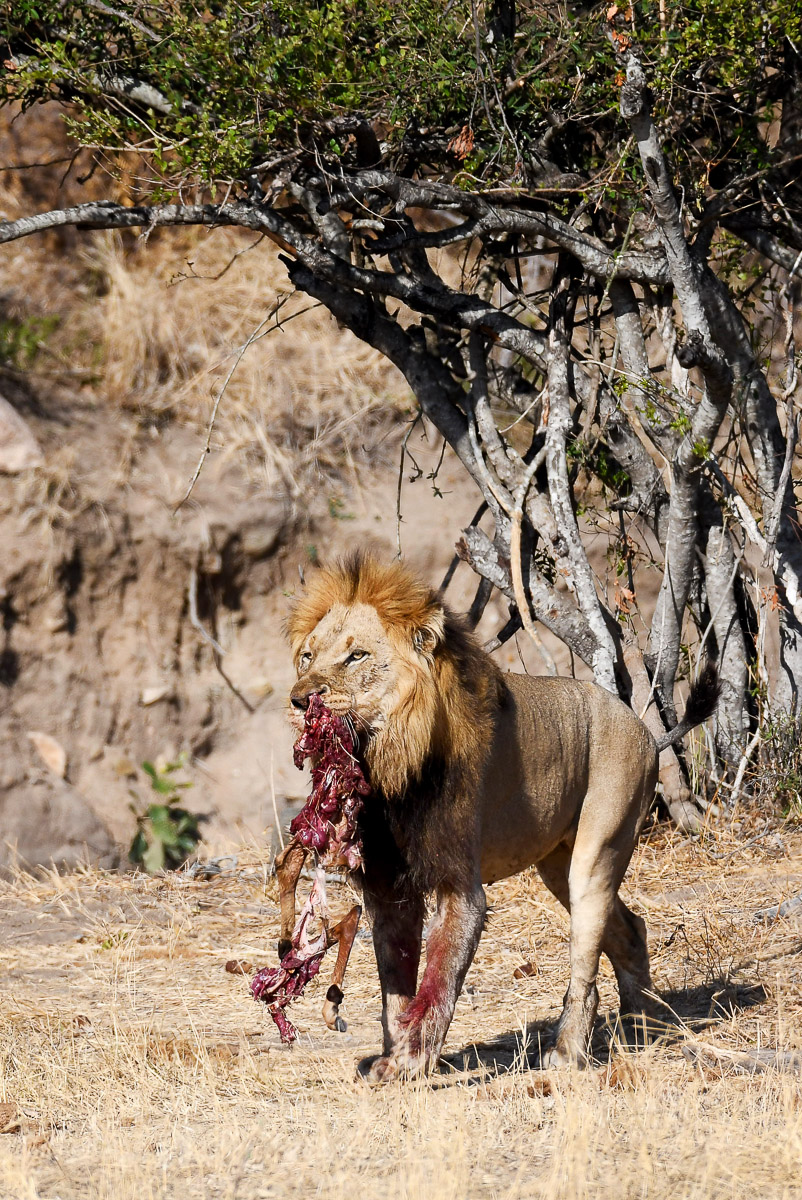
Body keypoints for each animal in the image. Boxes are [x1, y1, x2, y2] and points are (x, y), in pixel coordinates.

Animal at [284, 553, 718, 1082]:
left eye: (357, 657)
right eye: (307, 657)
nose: (301, 699)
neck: (387, 768)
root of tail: (646, 729)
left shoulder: (459, 884)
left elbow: (438, 983)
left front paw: (410, 1061)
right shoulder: (388, 886)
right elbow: (395, 987)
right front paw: (391, 1055)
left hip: (598, 850)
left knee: (586, 960)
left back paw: (568, 1052)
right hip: (555, 865)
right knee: (631, 930)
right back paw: (642, 1026)